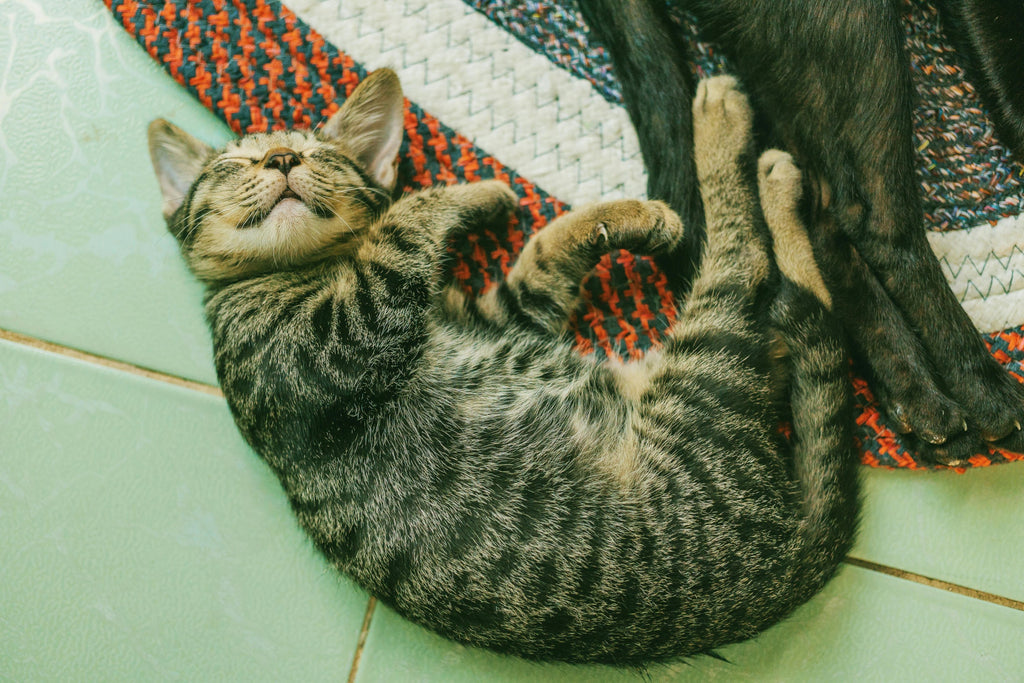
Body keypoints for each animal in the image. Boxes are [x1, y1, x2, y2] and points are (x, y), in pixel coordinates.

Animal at [148, 70, 860, 667]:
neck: (316, 268)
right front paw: (465, 192)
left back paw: (774, 178)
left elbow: (541, 254)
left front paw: (588, 211)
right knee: (747, 269)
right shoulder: (334, 340)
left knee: (801, 314)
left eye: (322, 157)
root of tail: (786, 570)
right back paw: (725, 129)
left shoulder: (504, 313)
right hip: (704, 377)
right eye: (235, 164)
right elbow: (405, 217)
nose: (282, 159)